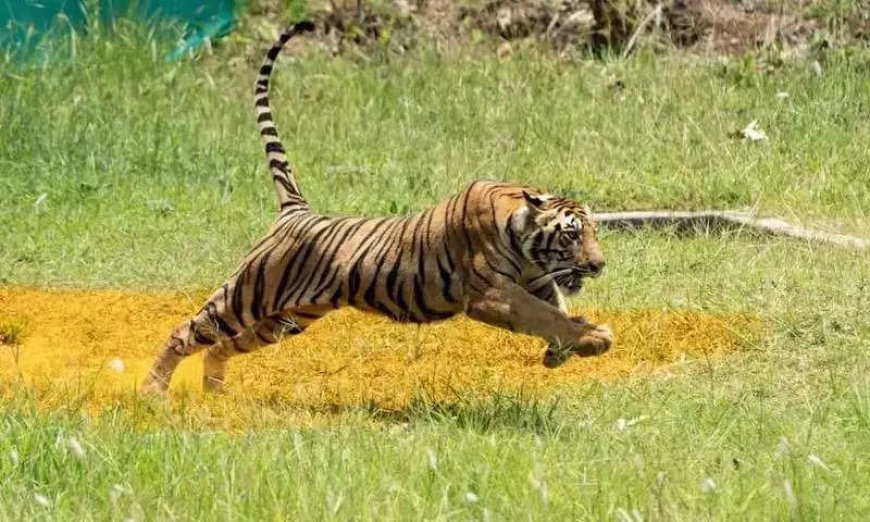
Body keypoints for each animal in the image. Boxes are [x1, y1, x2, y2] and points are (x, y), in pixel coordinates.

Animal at [141, 20, 612, 394]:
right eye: (572, 234)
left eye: (593, 232)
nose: (599, 265)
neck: (524, 239)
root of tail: (296, 210)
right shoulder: (492, 294)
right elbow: (543, 316)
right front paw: (591, 338)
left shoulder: (536, 282)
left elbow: (555, 308)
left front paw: (569, 346)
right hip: (246, 294)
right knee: (186, 332)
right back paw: (151, 392)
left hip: (287, 318)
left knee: (223, 345)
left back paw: (215, 393)